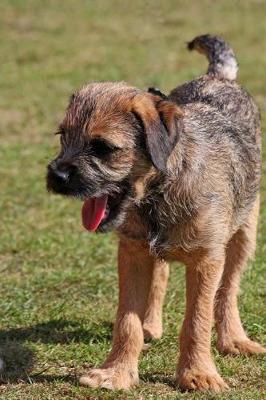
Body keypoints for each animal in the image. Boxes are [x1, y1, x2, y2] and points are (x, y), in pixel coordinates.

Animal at [46, 34, 264, 390]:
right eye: (63, 136)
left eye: (103, 148)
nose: (56, 176)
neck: (160, 193)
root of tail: (218, 77)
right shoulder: (132, 252)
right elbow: (126, 321)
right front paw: (117, 371)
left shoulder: (207, 259)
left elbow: (197, 320)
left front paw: (197, 373)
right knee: (160, 275)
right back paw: (151, 325)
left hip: (245, 232)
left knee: (228, 289)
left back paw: (234, 339)